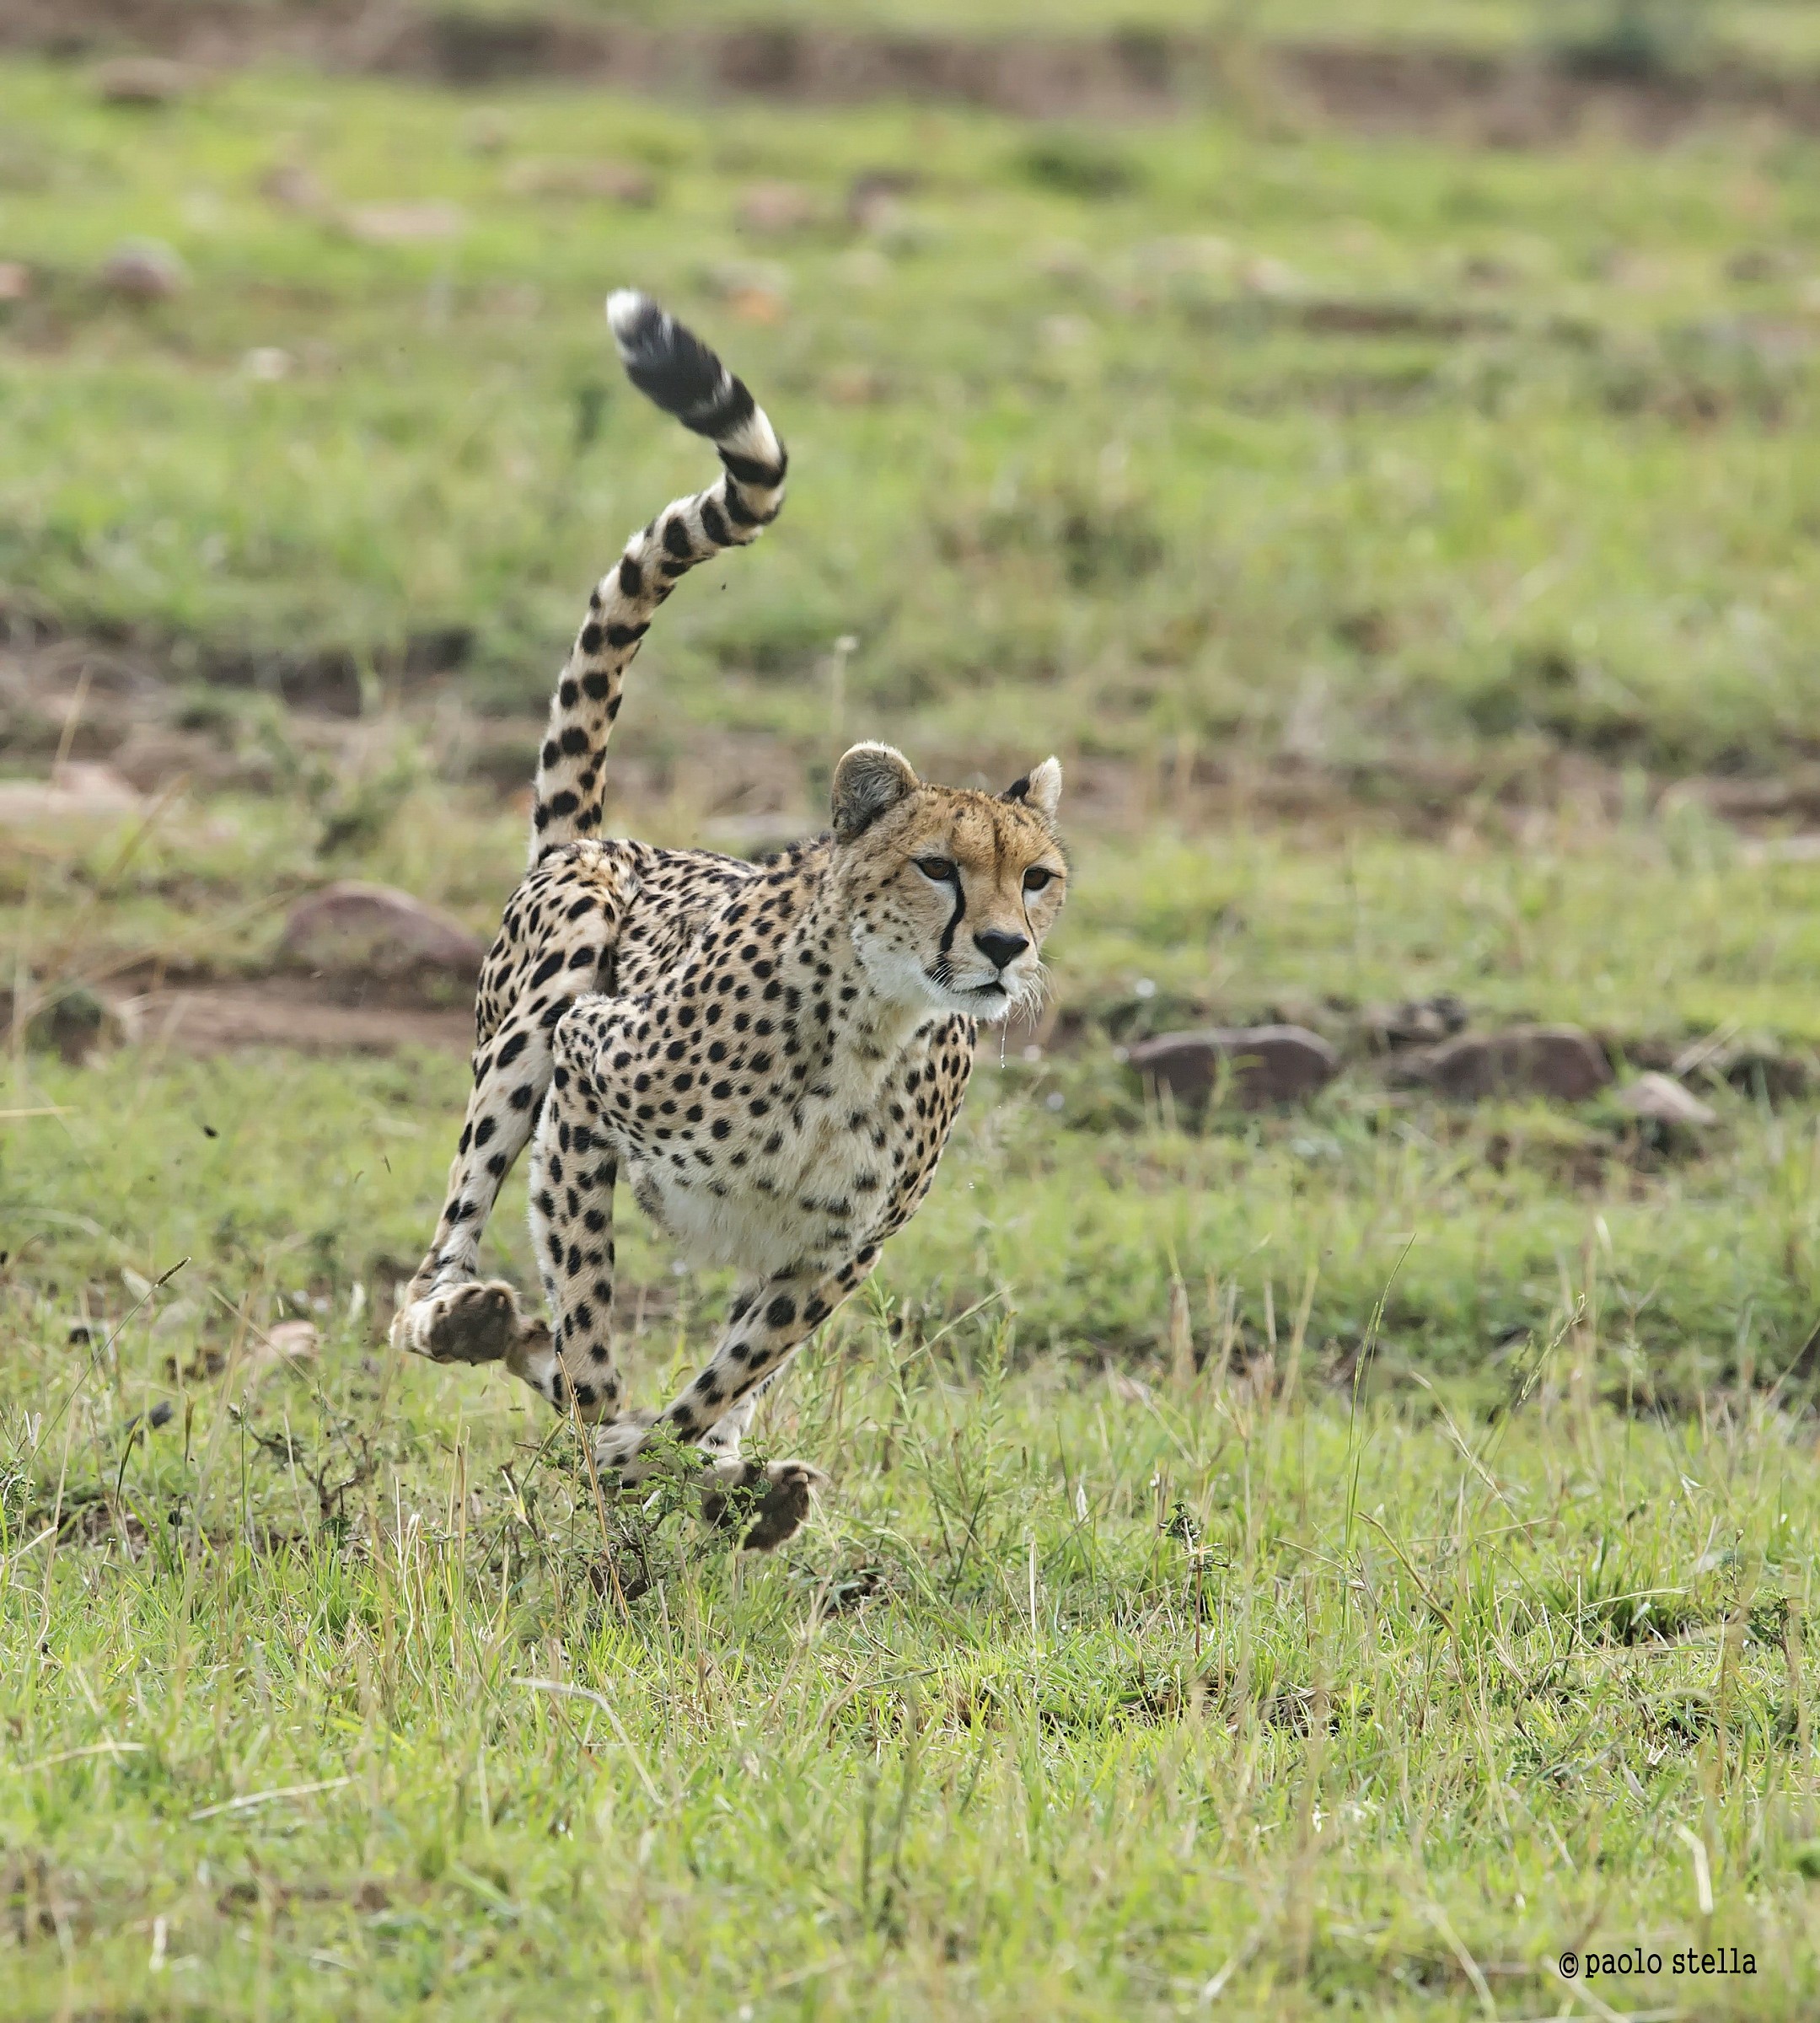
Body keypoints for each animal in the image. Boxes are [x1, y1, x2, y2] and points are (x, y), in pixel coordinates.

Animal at [390, 291, 1068, 1550]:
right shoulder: (585, 1076)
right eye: (939, 869)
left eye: (1036, 878)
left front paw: (705, 1474)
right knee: (432, 1276)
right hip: (547, 988)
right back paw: (469, 1323)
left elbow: (728, 1374)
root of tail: (599, 839)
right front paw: (620, 1445)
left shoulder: (835, 1249)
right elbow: (592, 1329)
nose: (1003, 949)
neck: (866, 1030)